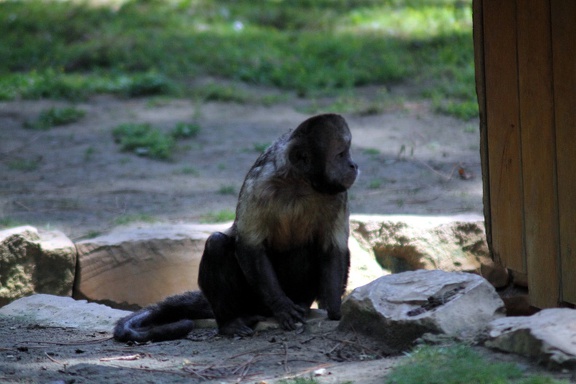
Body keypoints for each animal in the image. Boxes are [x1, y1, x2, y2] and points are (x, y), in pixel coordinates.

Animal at [114, 114, 358, 342]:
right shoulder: (260, 186)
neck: (300, 184)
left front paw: (334, 309)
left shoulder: (338, 193)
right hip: (250, 300)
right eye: (341, 154)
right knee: (217, 244)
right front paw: (282, 306)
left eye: (347, 152)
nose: (353, 165)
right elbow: (250, 246)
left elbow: (333, 248)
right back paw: (230, 323)